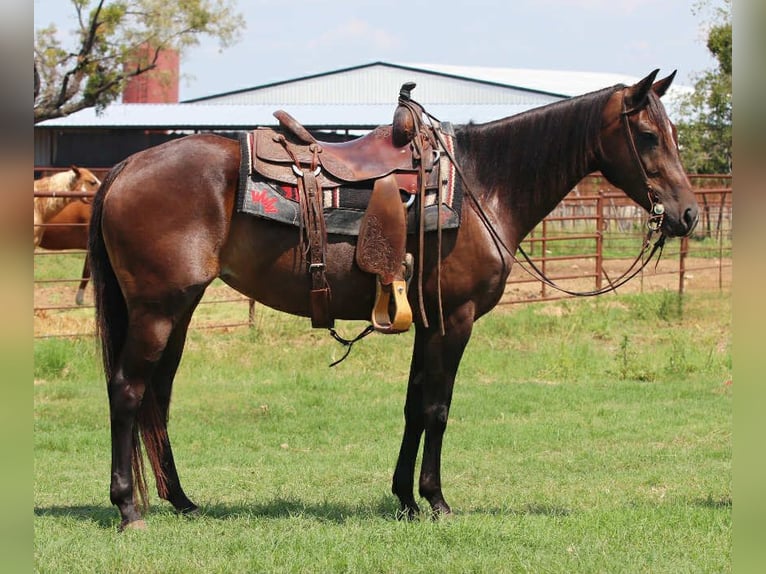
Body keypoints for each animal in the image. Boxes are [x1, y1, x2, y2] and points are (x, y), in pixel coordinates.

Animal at [88, 70, 699, 530]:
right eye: (648, 135)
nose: (688, 214)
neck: (483, 185)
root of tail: (126, 166)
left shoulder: (427, 322)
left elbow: (413, 405)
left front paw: (405, 497)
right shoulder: (455, 320)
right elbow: (438, 408)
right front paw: (437, 500)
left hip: (178, 309)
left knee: (158, 396)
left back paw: (181, 500)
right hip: (158, 309)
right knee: (127, 390)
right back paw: (128, 508)